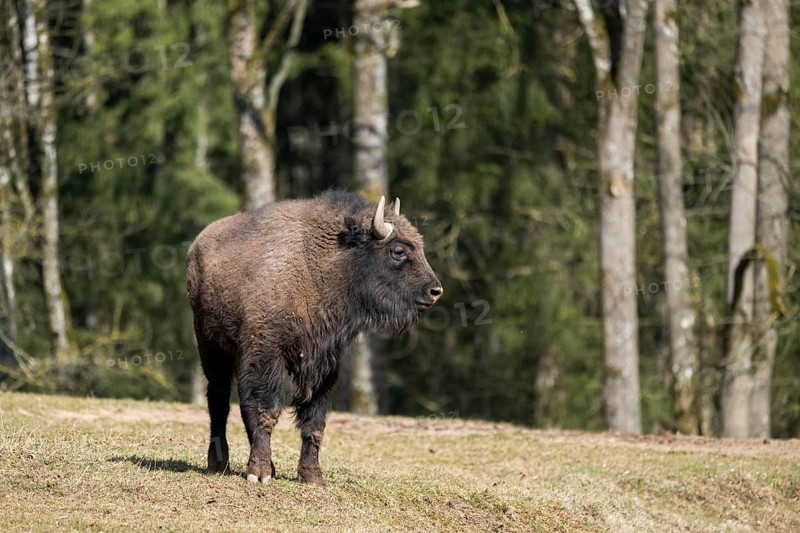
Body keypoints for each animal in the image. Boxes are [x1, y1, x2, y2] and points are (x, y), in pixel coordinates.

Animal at [186, 191, 443, 485]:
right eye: (398, 251)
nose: (435, 290)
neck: (323, 265)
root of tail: (197, 244)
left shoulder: (325, 363)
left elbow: (314, 421)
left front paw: (312, 476)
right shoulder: (265, 356)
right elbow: (266, 410)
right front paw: (259, 474)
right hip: (211, 349)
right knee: (218, 402)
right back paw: (219, 463)